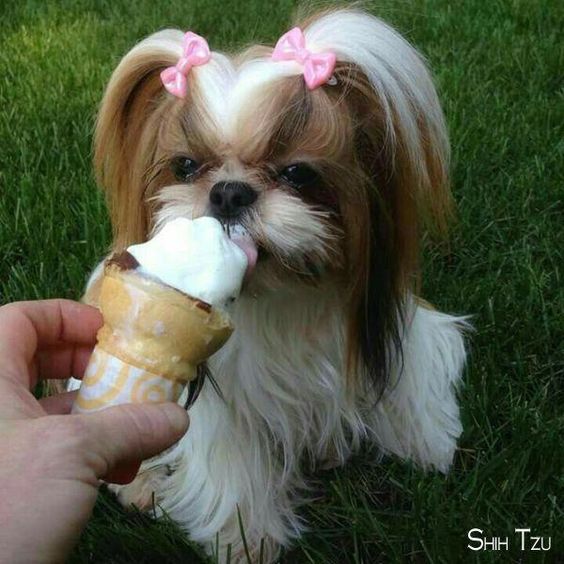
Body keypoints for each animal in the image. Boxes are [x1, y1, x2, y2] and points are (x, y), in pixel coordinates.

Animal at [77, 6, 470, 560]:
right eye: (186, 166)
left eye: (298, 174)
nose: (228, 192)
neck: (285, 297)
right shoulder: (220, 405)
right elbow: (234, 465)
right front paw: (248, 539)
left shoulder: (400, 325)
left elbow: (413, 374)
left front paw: (425, 441)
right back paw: (141, 484)